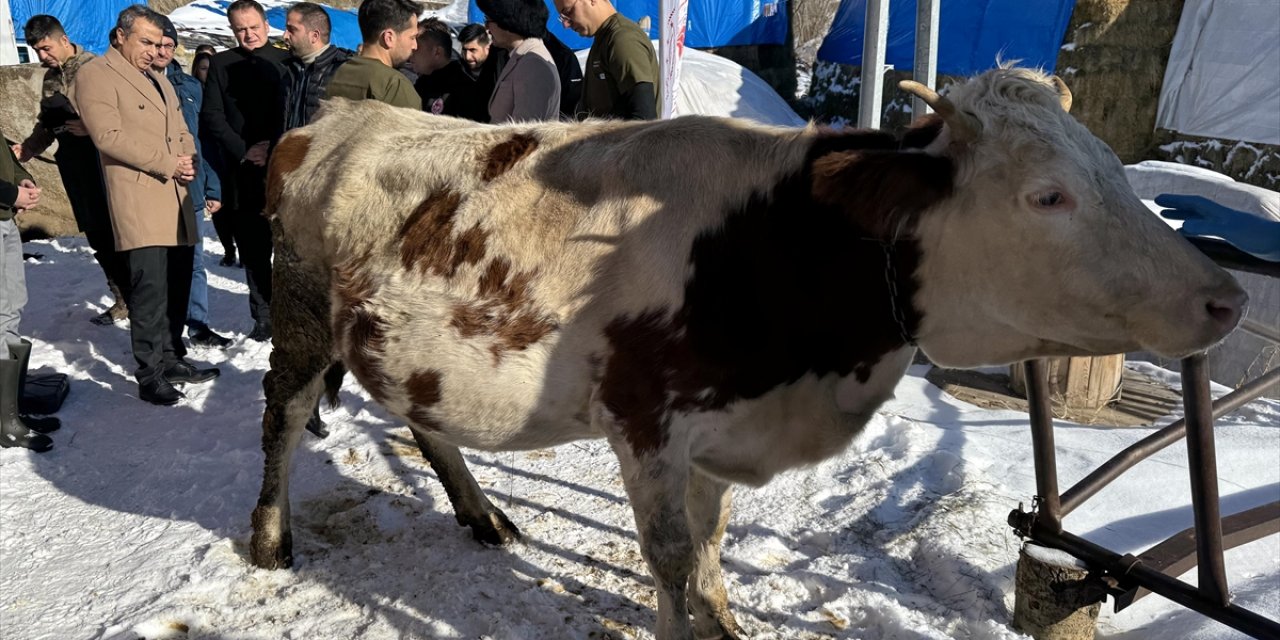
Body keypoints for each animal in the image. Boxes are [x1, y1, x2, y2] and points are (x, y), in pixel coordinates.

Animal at [247, 66, 1239, 640]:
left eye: (1110, 170)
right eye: (1048, 196)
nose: (1227, 298)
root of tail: (332, 117)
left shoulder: (720, 428)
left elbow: (713, 540)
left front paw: (724, 621)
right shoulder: (646, 424)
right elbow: (670, 557)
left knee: (421, 417)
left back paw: (481, 514)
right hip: (298, 315)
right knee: (283, 418)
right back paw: (268, 538)